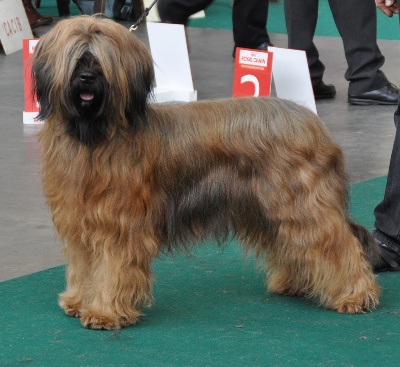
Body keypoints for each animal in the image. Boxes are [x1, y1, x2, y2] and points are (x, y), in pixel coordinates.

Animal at [32, 15, 378, 330]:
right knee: (296, 244)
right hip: (272, 207)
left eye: (100, 58)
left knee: (339, 244)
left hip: (301, 205)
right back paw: (298, 284)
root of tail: (312, 122)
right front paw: (78, 301)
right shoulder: (78, 220)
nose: (87, 78)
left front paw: (104, 312)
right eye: (77, 57)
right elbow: (83, 264)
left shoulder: (118, 224)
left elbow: (111, 267)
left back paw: (355, 295)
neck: (94, 135)